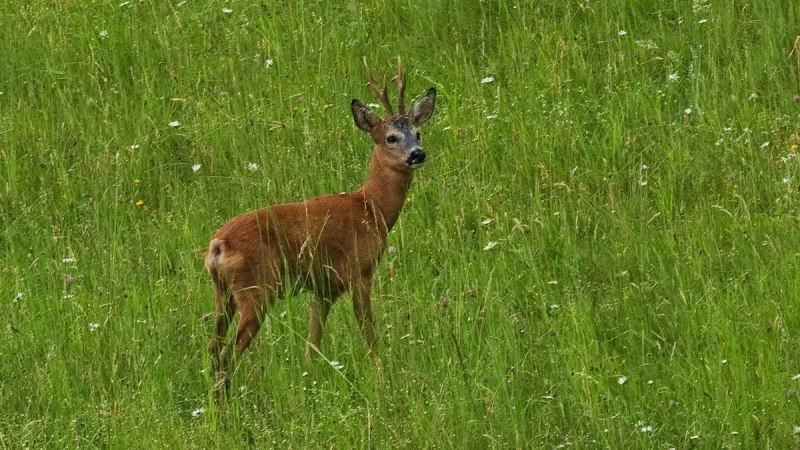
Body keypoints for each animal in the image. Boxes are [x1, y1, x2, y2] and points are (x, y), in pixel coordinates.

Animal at [204, 58, 436, 395]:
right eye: (391, 137)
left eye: (417, 133)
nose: (417, 154)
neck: (370, 207)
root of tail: (217, 246)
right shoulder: (359, 270)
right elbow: (368, 335)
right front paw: (381, 378)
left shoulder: (323, 288)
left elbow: (312, 345)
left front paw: (310, 386)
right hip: (256, 290)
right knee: (226, 352)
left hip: (224, 294)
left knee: (213, 345)